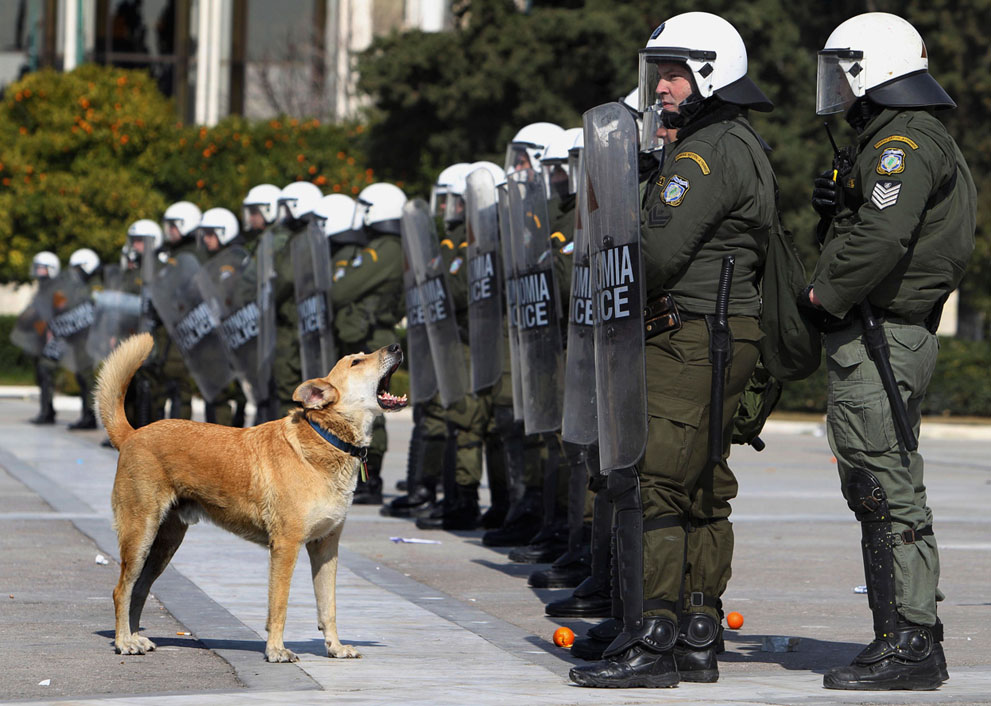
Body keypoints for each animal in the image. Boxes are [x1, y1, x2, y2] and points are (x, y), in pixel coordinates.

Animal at [99, 330, 408, 660]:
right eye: (356, 362)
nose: (396, 345)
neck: (328, 439)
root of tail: (132, 434)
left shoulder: (326, 547)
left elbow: (328, 606)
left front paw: (335, 647)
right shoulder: (286, 546)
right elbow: (279, 605)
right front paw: (276, 650)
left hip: (165, 542)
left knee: (139, 589)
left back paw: (134, 637)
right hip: (140, 532)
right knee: (121, 590)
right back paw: (124, 642)